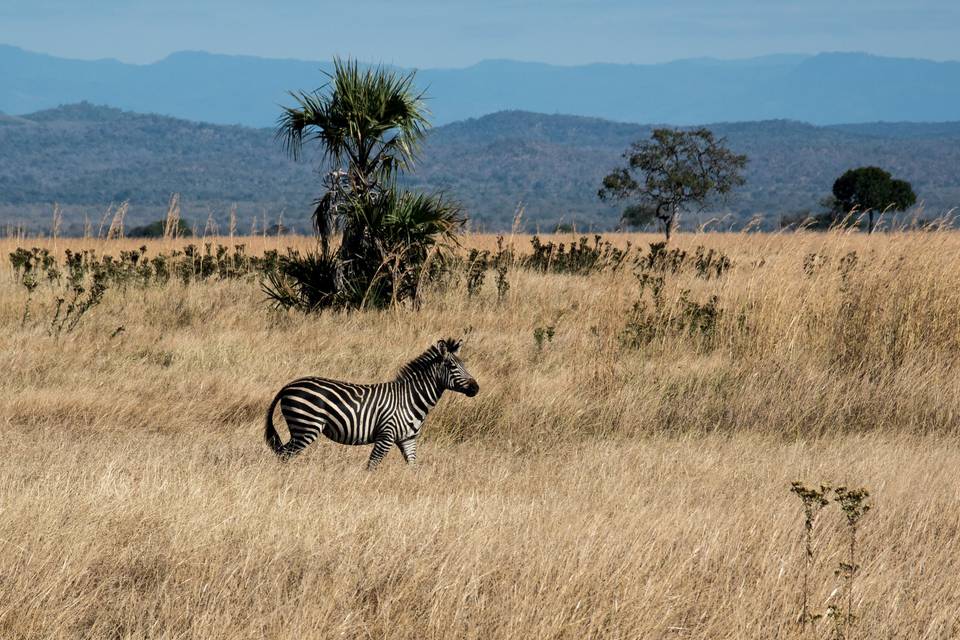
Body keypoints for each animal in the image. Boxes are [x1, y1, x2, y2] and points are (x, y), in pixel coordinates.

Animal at [264, 338, 478, 468]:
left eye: (464, 365)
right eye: (452, 366)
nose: (476, 388)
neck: (412, 398)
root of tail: (289, 385)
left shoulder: (408, 439)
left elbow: (413, 466)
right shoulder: (386, 436)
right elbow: (372, 466)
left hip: (301, 428)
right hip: (306, 427)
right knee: (285, 454)